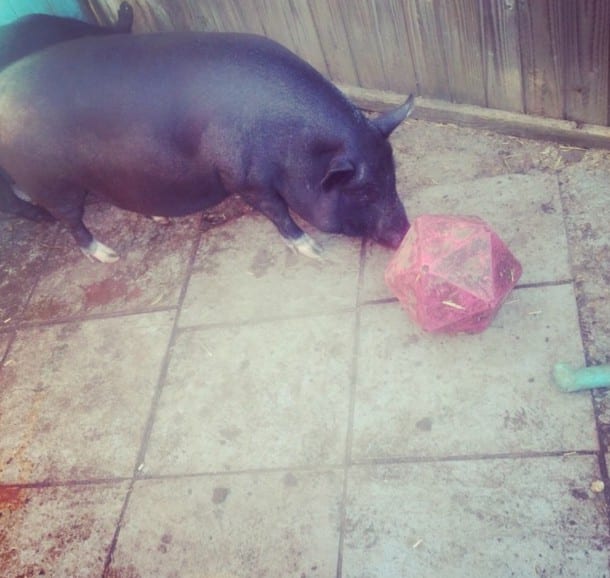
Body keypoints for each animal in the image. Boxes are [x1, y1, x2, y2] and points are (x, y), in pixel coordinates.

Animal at [0, 32, 413, 262]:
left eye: (393, 176)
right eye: (364, 191)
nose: (406, 232)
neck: (292, 146)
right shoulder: (245, 180)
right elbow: (278, 212)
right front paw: (315, 251)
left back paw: (159, 220)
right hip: (51, 182)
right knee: (68, 220)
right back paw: (109, 257)